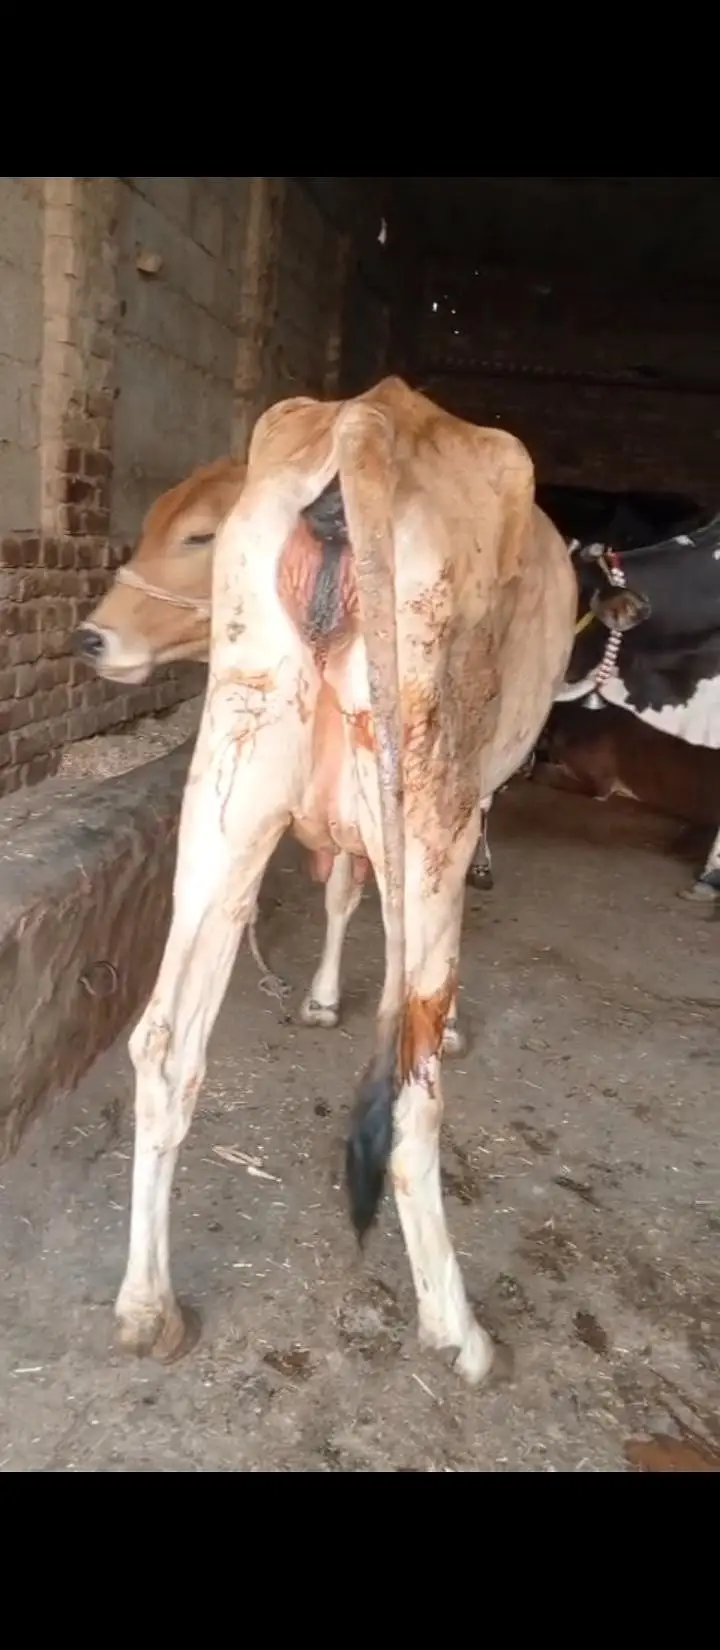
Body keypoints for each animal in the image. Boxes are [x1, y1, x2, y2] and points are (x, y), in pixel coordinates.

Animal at [110, 376, 577, 1383]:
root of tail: (371, 415)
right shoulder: (463, 809)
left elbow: (337, 891)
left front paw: (320, 995)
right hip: (431, 801)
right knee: (410, 1082)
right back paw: (457, 1329)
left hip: (231, 784)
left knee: (164, 1045)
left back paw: (148, 1310)